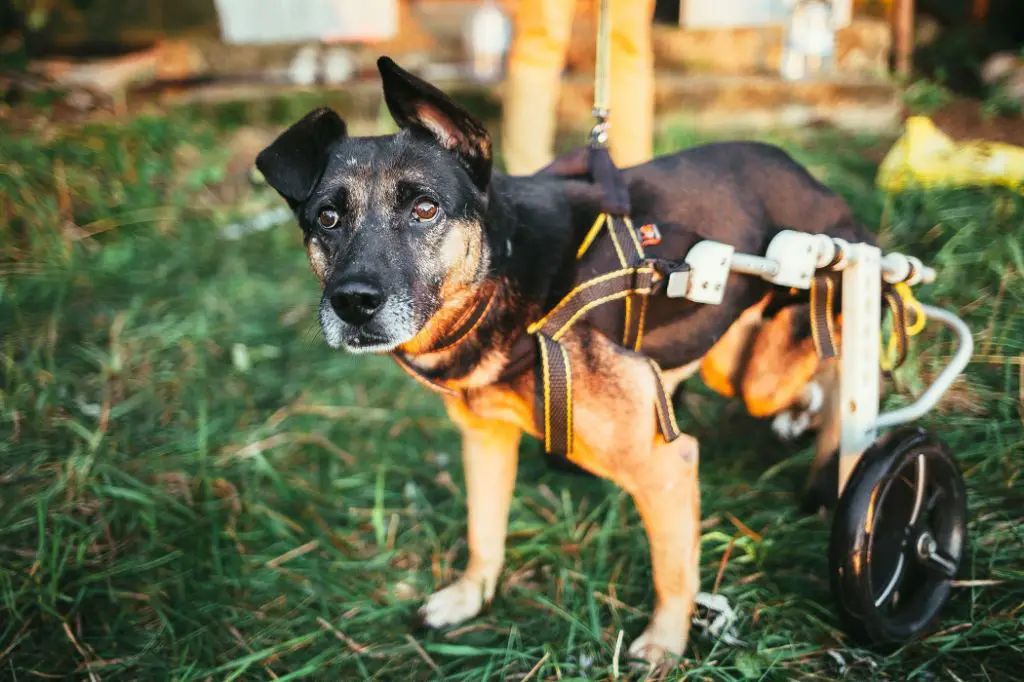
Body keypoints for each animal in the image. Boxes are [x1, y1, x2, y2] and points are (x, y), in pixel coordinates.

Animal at [256, 55, 872, 659]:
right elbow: (484, 531)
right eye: (327, 219)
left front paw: (664, 643)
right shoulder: (485, 439)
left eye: (425, 209)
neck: (504, 277)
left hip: (778, 352)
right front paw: (470, 596)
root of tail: (808, 176)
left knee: (834, 372)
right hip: (732, 361)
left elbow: (674, 572)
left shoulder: (667, 467)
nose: (353, 303)